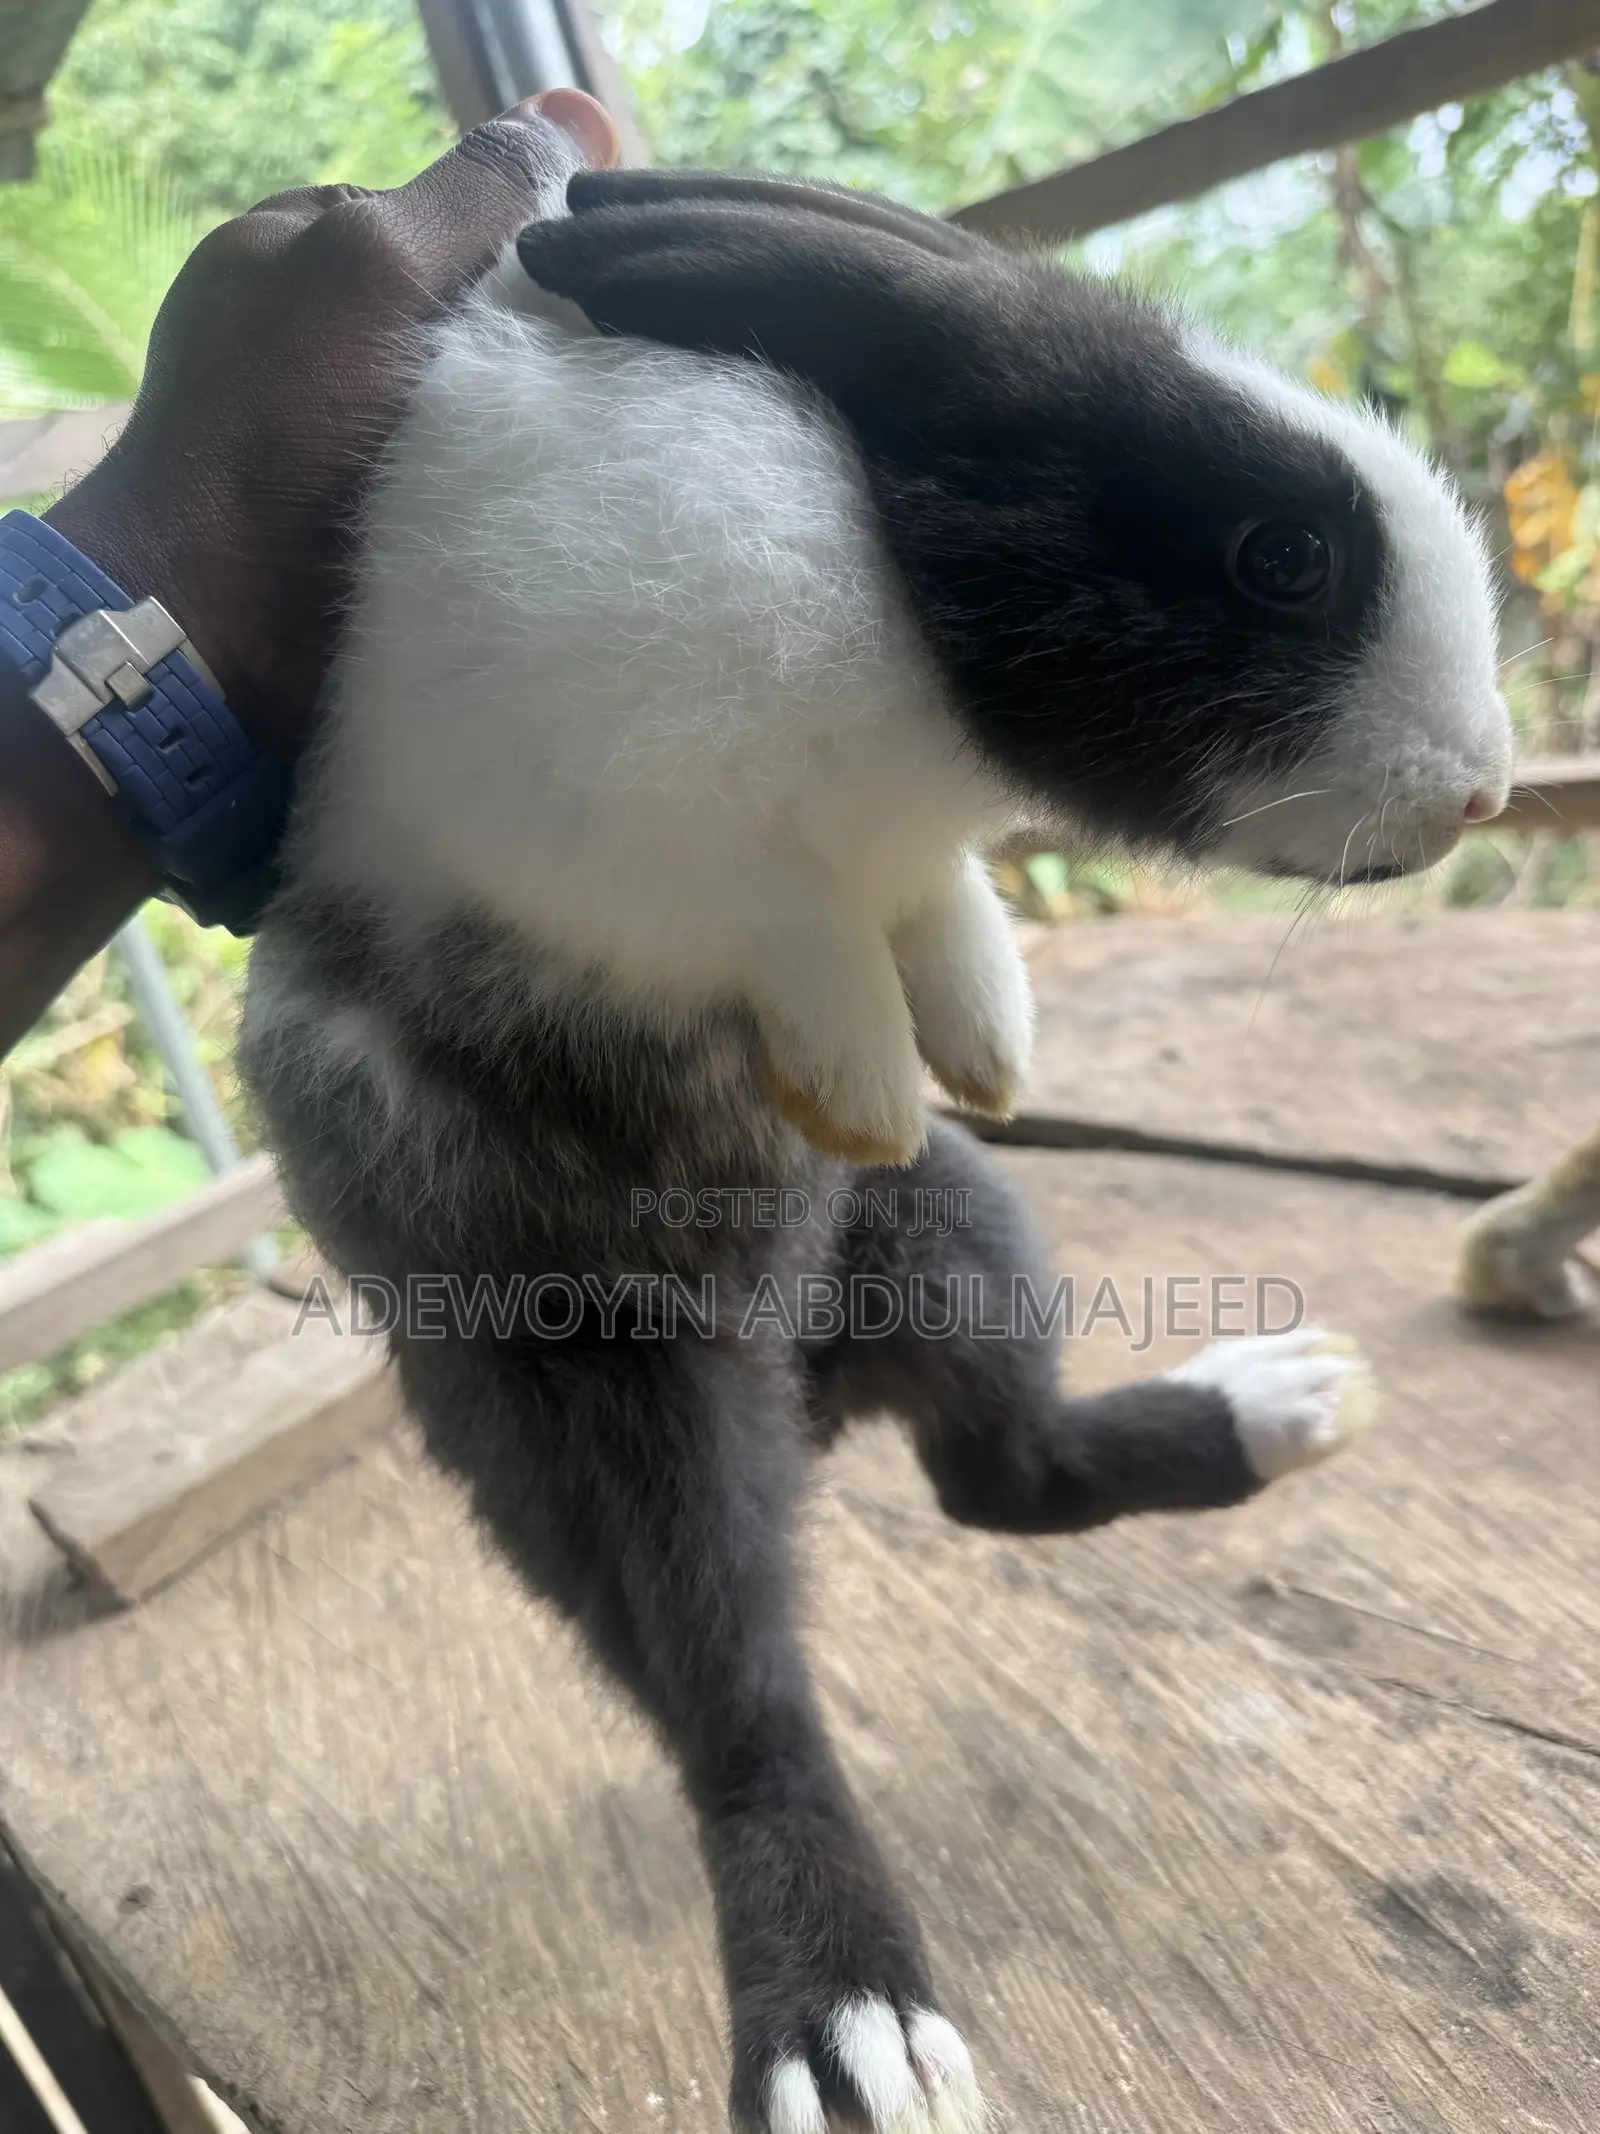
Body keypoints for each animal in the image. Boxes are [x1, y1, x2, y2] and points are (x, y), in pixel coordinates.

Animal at [240, 139, 1513, 2134]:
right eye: (1284, 553)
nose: (1487, 790)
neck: (901, 591)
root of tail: (802, 1383)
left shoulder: (901, 852)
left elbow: (934, 905)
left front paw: (979, 1043)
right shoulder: (644, 834)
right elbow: (804, 930)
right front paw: (862, 1071)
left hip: (951, 1236)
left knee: (1003, 1472)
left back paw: (1283, 1399)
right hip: (597, 1389)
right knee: (740, 1714)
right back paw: (850, 2028)